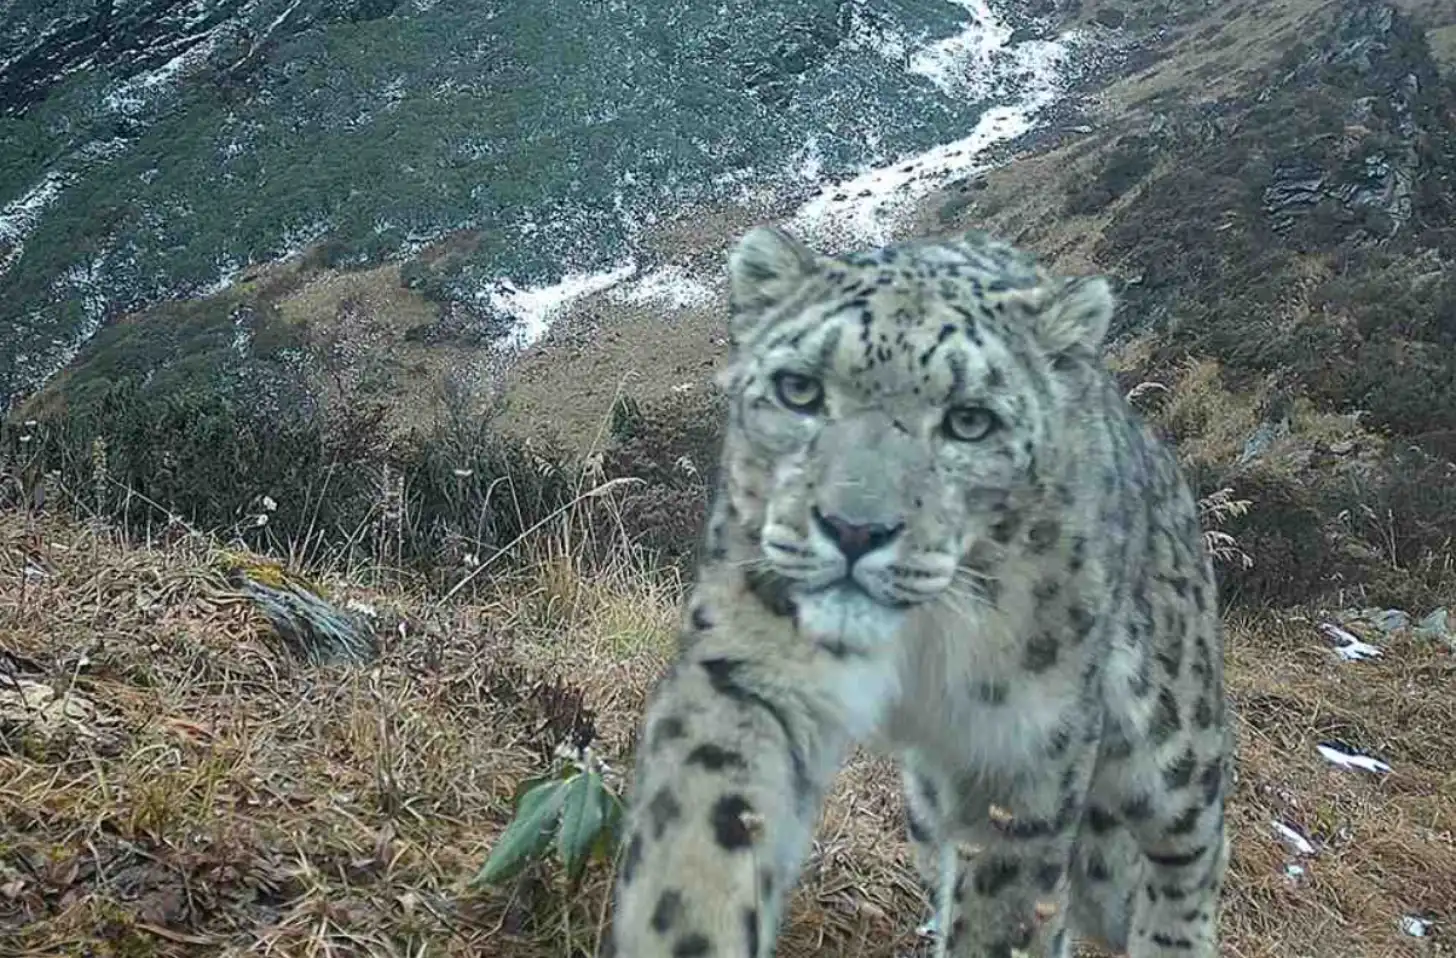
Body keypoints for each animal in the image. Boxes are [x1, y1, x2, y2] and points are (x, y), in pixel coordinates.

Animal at [608, 224, 1233, 958]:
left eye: (970, 422)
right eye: (799, 389)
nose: (854, 528)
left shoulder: (1026, 753)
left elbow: (1002, 911)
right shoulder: (750, 666)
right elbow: (704, 830)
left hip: (1173, 737)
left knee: (1191, 853)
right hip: (934, 801)